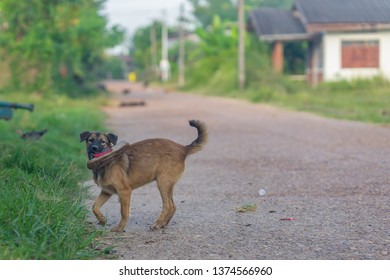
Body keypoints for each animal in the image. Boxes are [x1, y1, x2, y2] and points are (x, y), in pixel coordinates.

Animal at [79, 120, 207, 232]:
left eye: (103, 142)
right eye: (90, 140)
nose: (94, 148)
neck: (105, 164)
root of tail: (183, 148)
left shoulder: (125, 191)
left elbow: (123, 212)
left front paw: (120, 228)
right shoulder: (106, 191)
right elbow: (95, 207)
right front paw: (102, 220)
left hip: (163, 182)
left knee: (168, 205)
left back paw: (157, 224)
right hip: (167, 184)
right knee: (173, 206)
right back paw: (163, 224)